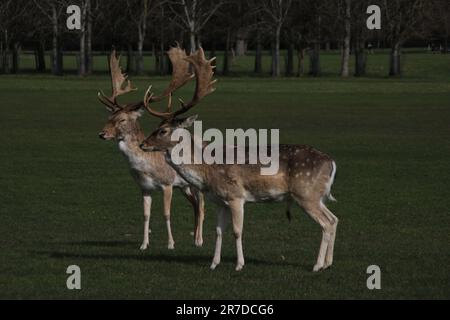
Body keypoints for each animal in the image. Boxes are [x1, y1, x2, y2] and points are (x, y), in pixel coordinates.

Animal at [98, 47, 206, 250]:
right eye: (109, 117)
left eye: (122, 120)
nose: (102, 134)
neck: (147, 167)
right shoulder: (144, 188)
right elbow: (146, 215)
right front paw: (143, 244)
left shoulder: (168, 184)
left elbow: (166, 214)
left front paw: (170, 244)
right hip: (185, 186)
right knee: (195, 205)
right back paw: (194, 238)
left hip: (196, 184)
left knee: (202, 206)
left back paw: (199, 240)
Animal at [139, 48, 340, 272]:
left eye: (163, 130)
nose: (143, 144)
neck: (207, 173)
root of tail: (332, 163)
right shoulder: (220, 201)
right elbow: (218, 231)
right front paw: (213, 263)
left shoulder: (236, 196)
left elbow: (237, 231)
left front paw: (239, 264)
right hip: (316, 195)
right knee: (334, 219)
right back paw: (328, 263)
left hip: (306, 194)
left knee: (326, 223)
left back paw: (317, 265)